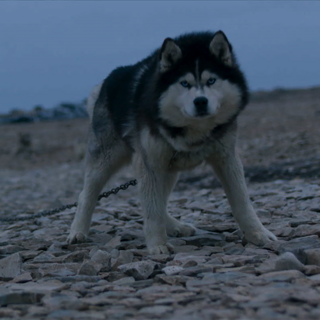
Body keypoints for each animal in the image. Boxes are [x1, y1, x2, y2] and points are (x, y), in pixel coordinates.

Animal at [68, 31, 278, 254]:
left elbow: (242, 202)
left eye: (211, 80)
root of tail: (106, 83)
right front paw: (157, 245)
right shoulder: (149, 163)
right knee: (86, 195)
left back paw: (175, 226)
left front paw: (258, 234)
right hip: (106, 161)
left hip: (169, 170)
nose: (200, 101)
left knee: (161, 200)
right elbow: (152, 209)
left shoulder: (227, 158)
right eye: (184, 83)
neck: (194, 131)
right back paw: (78, 231)